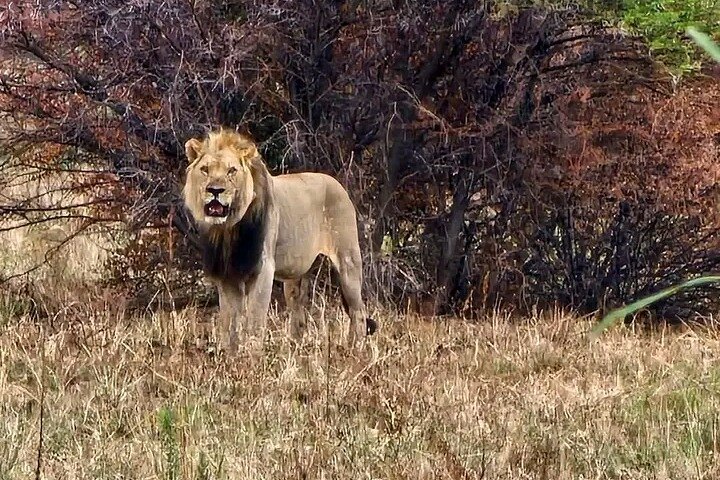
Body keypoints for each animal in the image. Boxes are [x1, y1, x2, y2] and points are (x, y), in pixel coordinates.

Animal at [182, 128, 376, 352]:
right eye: (205, 169)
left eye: (231, 170)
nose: (215, 190)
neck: (229, 228)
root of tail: (337, 183)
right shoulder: (227, 273)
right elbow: (229, 324)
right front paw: (232, 356)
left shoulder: (263, 268)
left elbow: (254, 320)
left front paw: (252, 356)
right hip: (296, 278)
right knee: (299, 315)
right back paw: (295, 348)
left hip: (348, 263)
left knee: (358, 312)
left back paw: (355, 350)